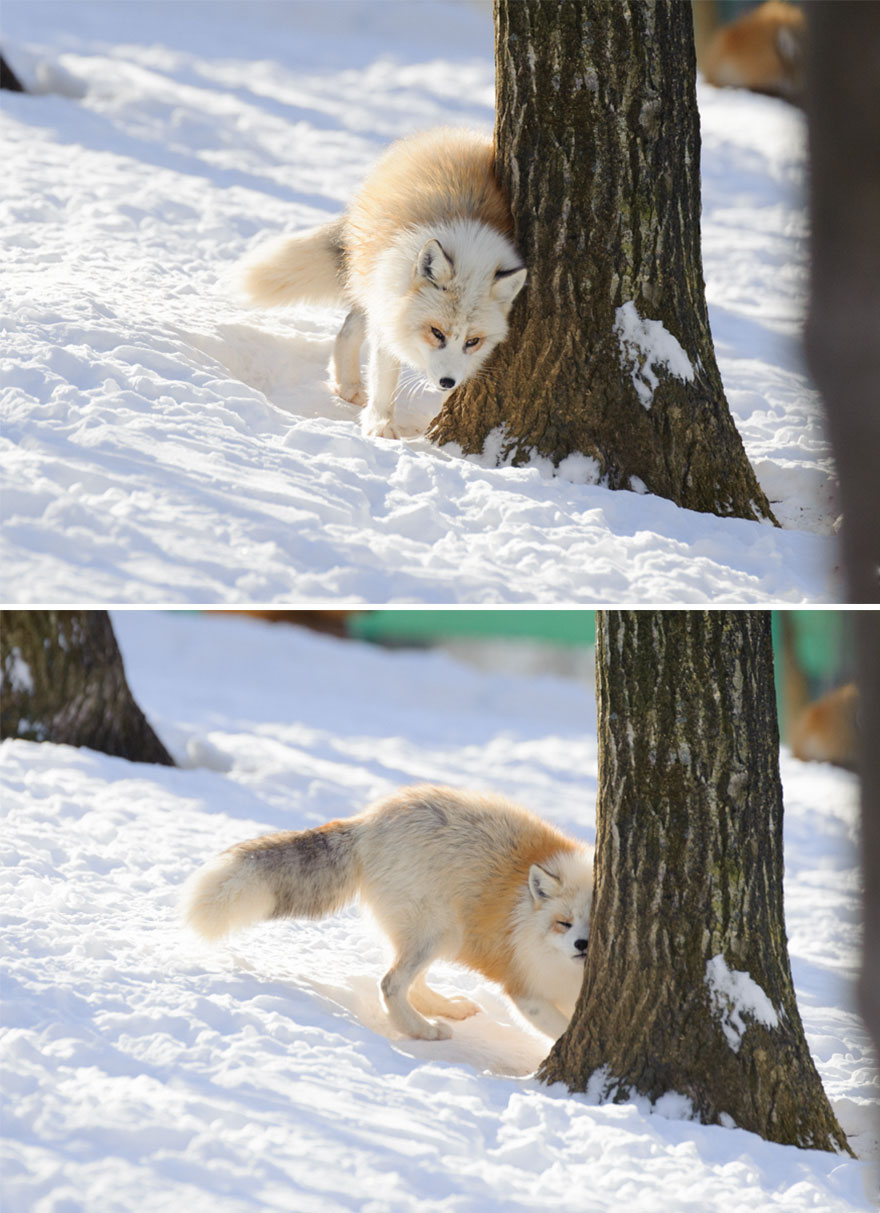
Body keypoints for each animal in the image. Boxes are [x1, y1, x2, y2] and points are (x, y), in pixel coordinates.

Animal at [183, 785, 594, 1041]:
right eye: (564, 924)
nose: (583, 945)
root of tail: (368, 820)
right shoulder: (525, 990)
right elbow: (560, 1033)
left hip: (442, 936)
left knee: (414, 983)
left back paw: (446, 1010)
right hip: (436, 932)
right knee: (391, 984)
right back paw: (423, 1030)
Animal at [239, 127, 527, 440]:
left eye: (473, 341)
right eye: (436, 333)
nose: (448, 382)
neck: (469, 243)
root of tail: (444, 134)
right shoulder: (389, 304)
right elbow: (385, 378)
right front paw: (381, 427)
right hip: (370, 279)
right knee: (349, 328)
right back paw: (349, 384)